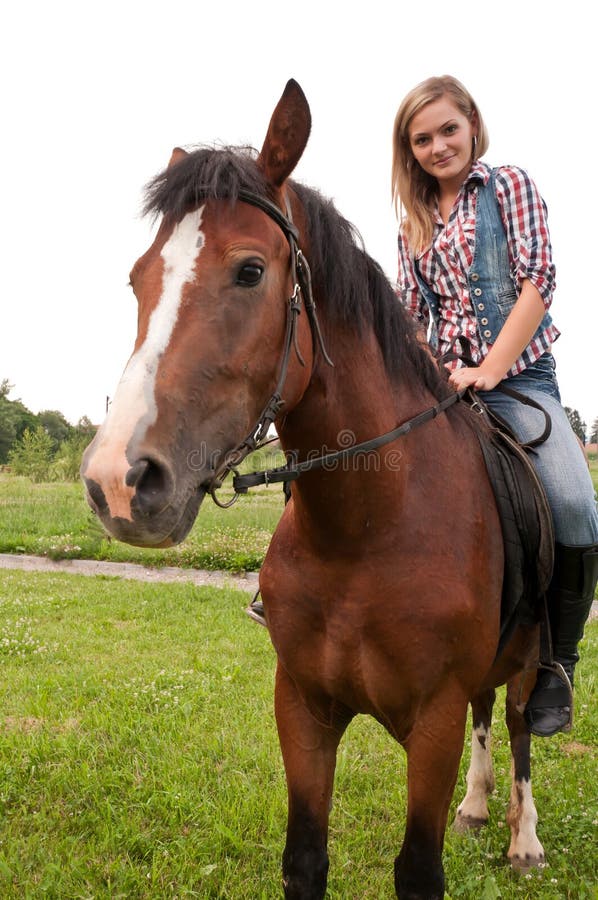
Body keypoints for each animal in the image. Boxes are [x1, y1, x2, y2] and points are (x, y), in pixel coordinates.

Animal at [83, 81, 548, 896]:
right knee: (492, 714)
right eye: (139, 278)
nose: (119, 480)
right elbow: (305, 857)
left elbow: (418, 869)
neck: (365, 532)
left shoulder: (432, 724)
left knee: (520, 723)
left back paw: (523, 839)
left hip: (528, 656)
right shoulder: (302, 708)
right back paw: (477, 806)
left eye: (249, 271)